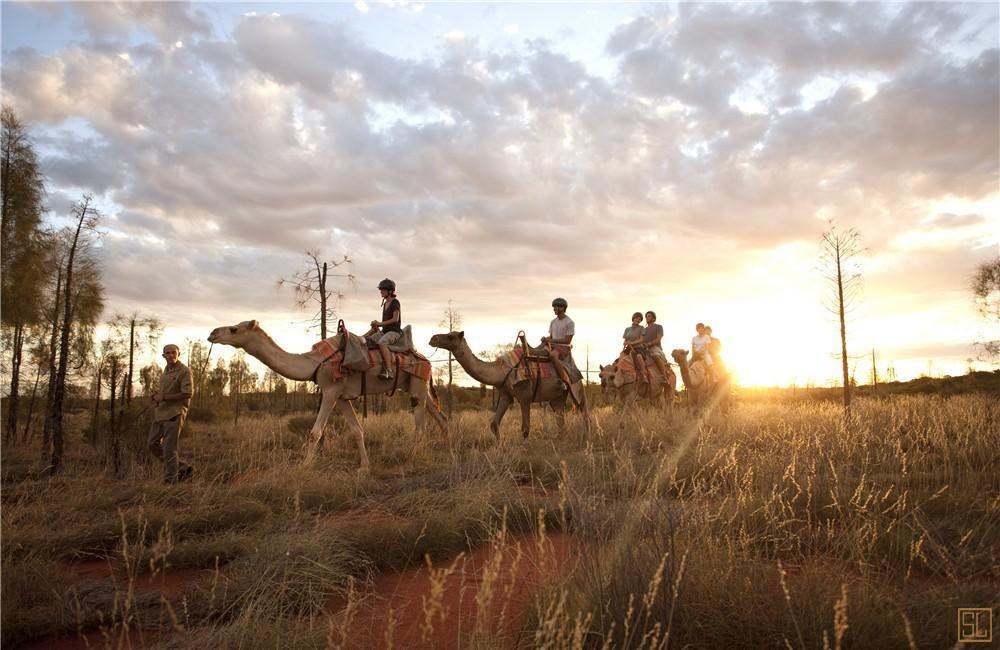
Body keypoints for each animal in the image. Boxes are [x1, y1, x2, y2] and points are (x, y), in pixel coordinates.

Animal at [428, 332, 584, 438]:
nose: (432, 339)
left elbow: (525, 428)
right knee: (560, 419)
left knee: (582, 411)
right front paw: (499, 448)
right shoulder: (505, 394)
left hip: (577, 386)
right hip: (557, 397)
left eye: (450, 336)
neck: (502, 370)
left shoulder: (525, 396)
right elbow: (494, 424)